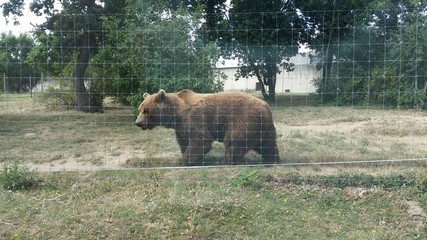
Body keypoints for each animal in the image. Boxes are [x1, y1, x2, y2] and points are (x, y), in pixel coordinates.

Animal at [135, 89, 280, 166]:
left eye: (146, 110)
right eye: (140, 109)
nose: (138, 123)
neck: (176, 115)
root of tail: (265, 107)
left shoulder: (195, 118)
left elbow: (201, 140)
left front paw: (184, 161)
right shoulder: (181, 127)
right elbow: (184, 141)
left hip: (243, 120)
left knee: (233, 142)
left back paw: (226, 162)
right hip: (264, 127)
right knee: (268, 145)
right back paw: (273, 160)